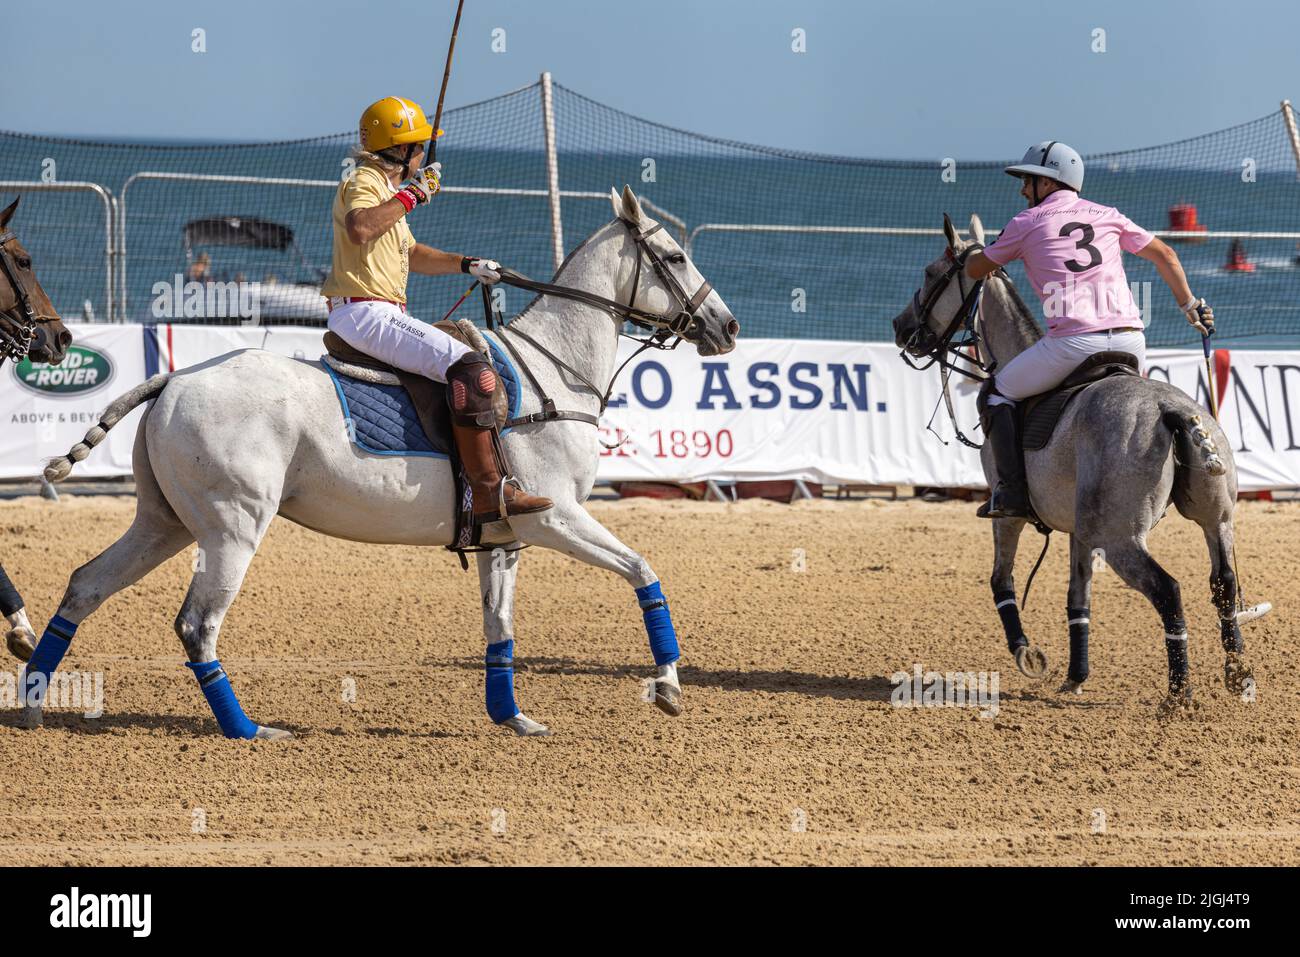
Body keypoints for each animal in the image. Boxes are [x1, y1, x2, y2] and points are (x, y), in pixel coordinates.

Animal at [27, 187, 743, 738]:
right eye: (675, 255)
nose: (729, 327)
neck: (554, 374)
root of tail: (171, 380)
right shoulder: (551, 517)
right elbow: (644, 571)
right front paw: (668, 685)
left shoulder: (503, 536)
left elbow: (500, 630)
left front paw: (512, 718)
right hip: (232, 527)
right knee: (198, 625)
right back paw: (246, 728)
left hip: (166, 521)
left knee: (86, 583)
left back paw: (33, 701)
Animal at [894, 213, 1258, 712]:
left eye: (932, 273)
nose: (900, 326)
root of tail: (1172, 410)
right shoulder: (1078, 529)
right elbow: (1077, 597)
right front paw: (1075, 676)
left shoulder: (1007, 512)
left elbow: (1000, 579)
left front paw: (1028, 654)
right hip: (1213, 517)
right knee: (1223, 582)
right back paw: (1237, 674)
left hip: (1119, 535)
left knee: (1168, 589)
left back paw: (1178, 695)